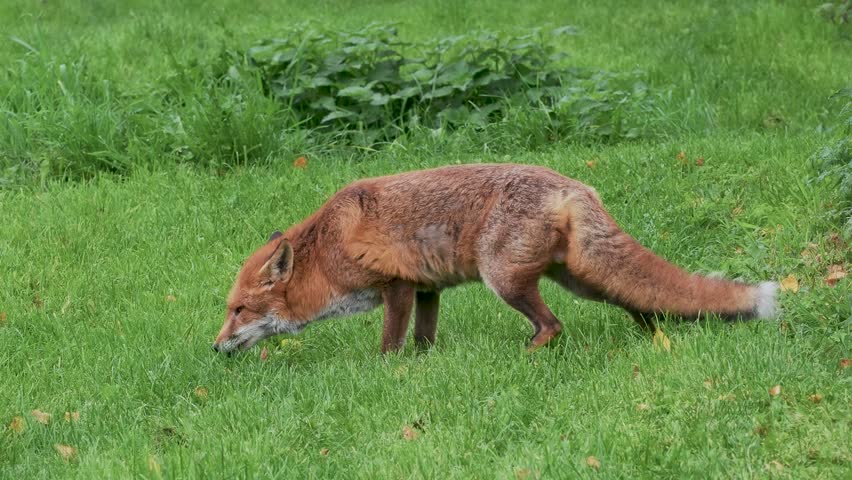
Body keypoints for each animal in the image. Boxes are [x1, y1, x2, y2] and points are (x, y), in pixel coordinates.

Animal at [212, 163, 778, 355]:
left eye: (239, 310)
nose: (214, 348)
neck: (328, 248)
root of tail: (575, 186)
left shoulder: (396, 285)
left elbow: (390, 346)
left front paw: (388, 374)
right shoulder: (427, 289)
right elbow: (423, 340)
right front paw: (424, 366)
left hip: (504, 278)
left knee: (553, 325)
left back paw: (527, 356)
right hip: (581, 277)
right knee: (638, 297)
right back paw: (654, 335)